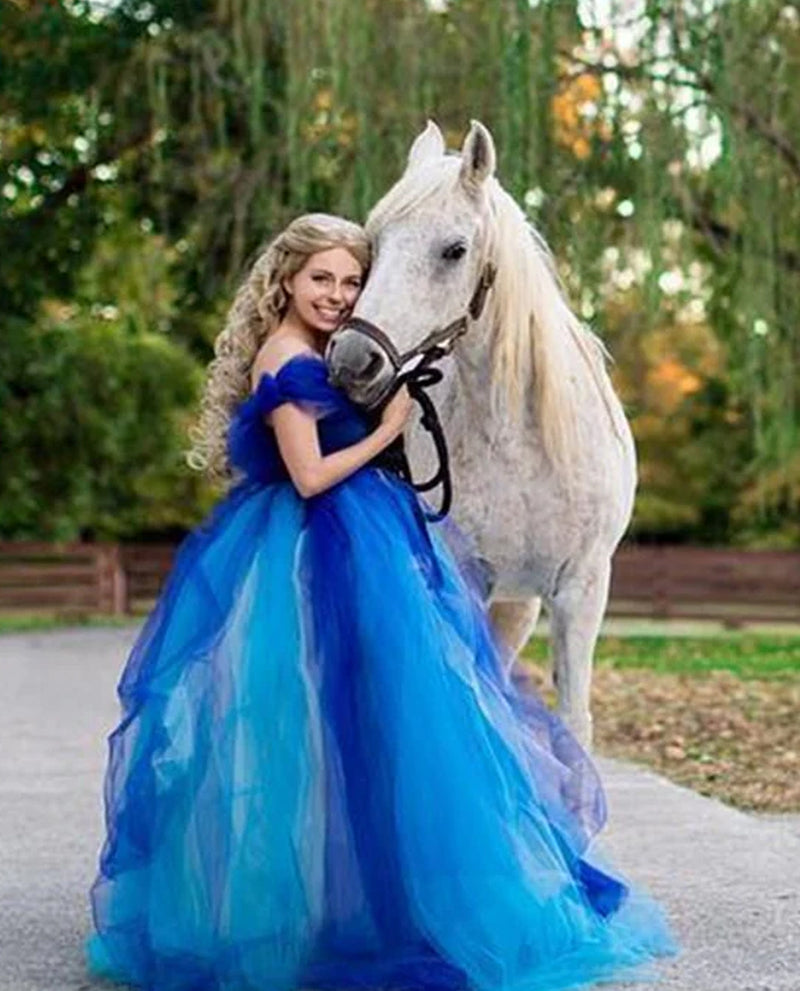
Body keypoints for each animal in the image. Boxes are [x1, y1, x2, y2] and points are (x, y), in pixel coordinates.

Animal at [326, 120, 636, 748]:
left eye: (454, 250)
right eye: (374, 244)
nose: (352, 362)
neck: (519, 441)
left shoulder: (581, 589)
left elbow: (572, 722)